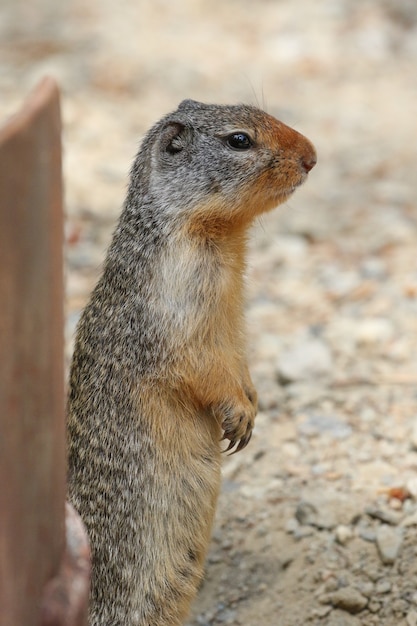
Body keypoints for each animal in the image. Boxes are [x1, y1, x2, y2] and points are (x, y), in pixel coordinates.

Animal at [67, 98, 316, 624]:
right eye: (239, 140)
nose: (312, 155)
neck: (221, 242)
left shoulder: (232, 323)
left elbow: (238, 360)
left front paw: (253, 402)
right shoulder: (176, 317)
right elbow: (201, 368)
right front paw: (238, 415)